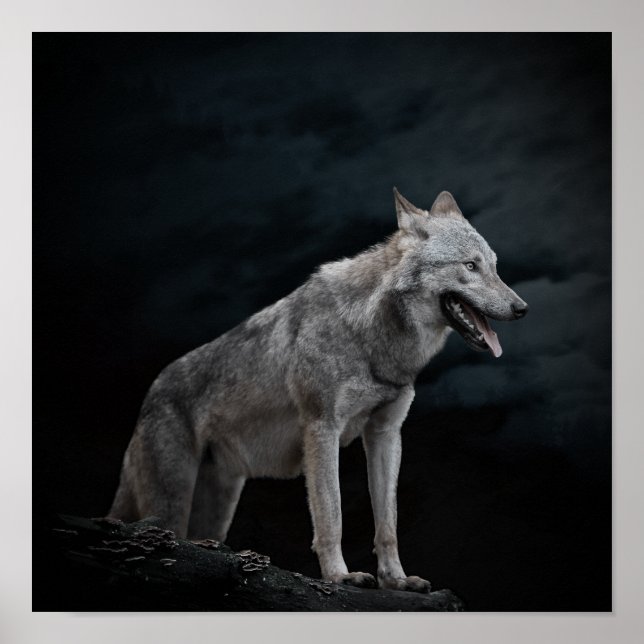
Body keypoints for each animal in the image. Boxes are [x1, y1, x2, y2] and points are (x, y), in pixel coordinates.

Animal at [109, 189, 527, 592]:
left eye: (494, 266)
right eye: (470, 266)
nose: (522, 308)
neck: (370, 336)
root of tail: (151, 394)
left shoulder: (386, 434)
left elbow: (387, 522)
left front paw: (396, 580)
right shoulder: (322, 429)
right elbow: (332, 515)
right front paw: (340, 576)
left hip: (216, 510)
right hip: (171, 507)